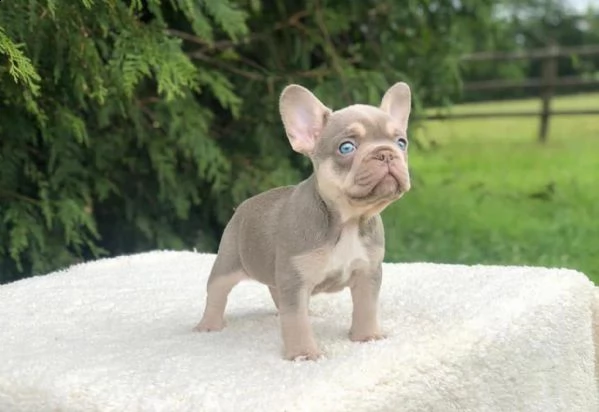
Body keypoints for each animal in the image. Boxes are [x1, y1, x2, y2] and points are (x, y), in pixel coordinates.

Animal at [197, 83, 412, 360]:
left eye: (401, 142)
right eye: (346, 147)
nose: (386, 154)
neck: (348, 221)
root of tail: (241, 207)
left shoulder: (368, 272)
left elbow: (366, 306)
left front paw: (367, 336)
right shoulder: (295, 279)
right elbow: (295, 320)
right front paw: (304, 354)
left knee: (275, 292)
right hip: (228, 261)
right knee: (217, 292)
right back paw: (208, 325)